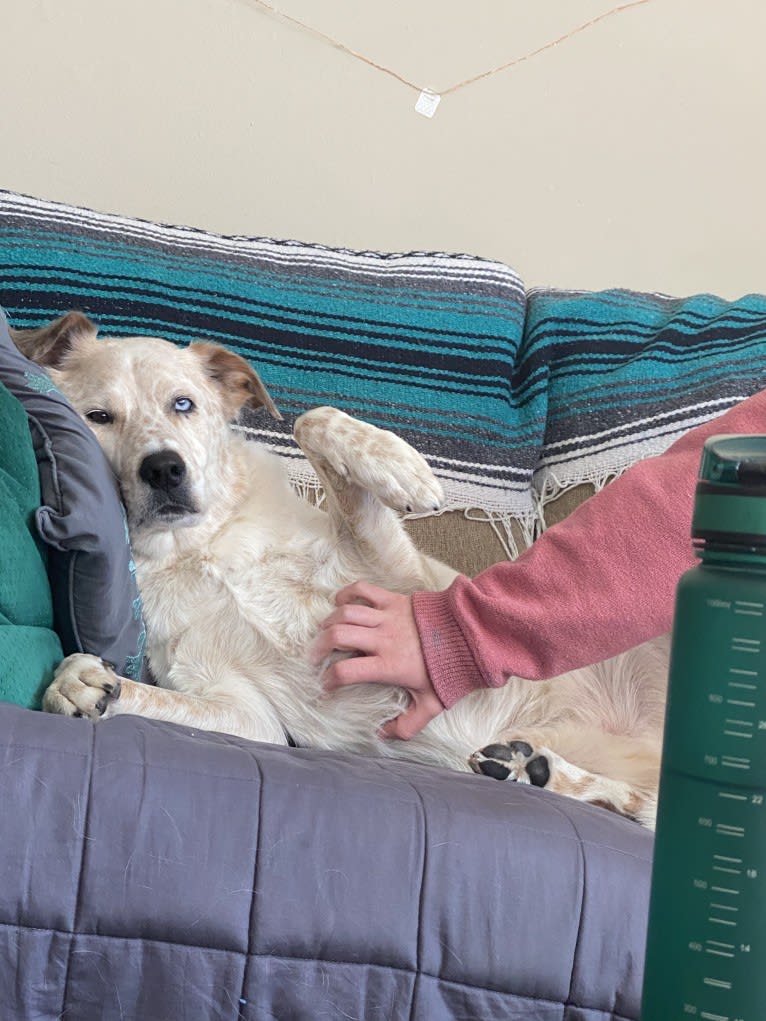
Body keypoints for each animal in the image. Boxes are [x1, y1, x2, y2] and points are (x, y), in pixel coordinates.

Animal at [15, 312, 669, 829]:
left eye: (184, 404)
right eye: (99, 416)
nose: (164, 470)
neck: (204, 551)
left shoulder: (404, 581)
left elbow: (314, 418)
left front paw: (399, 467)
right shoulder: (242, 711)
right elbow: (138, 695)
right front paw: (77, 683)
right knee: (646, 807)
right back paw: (532, 771)